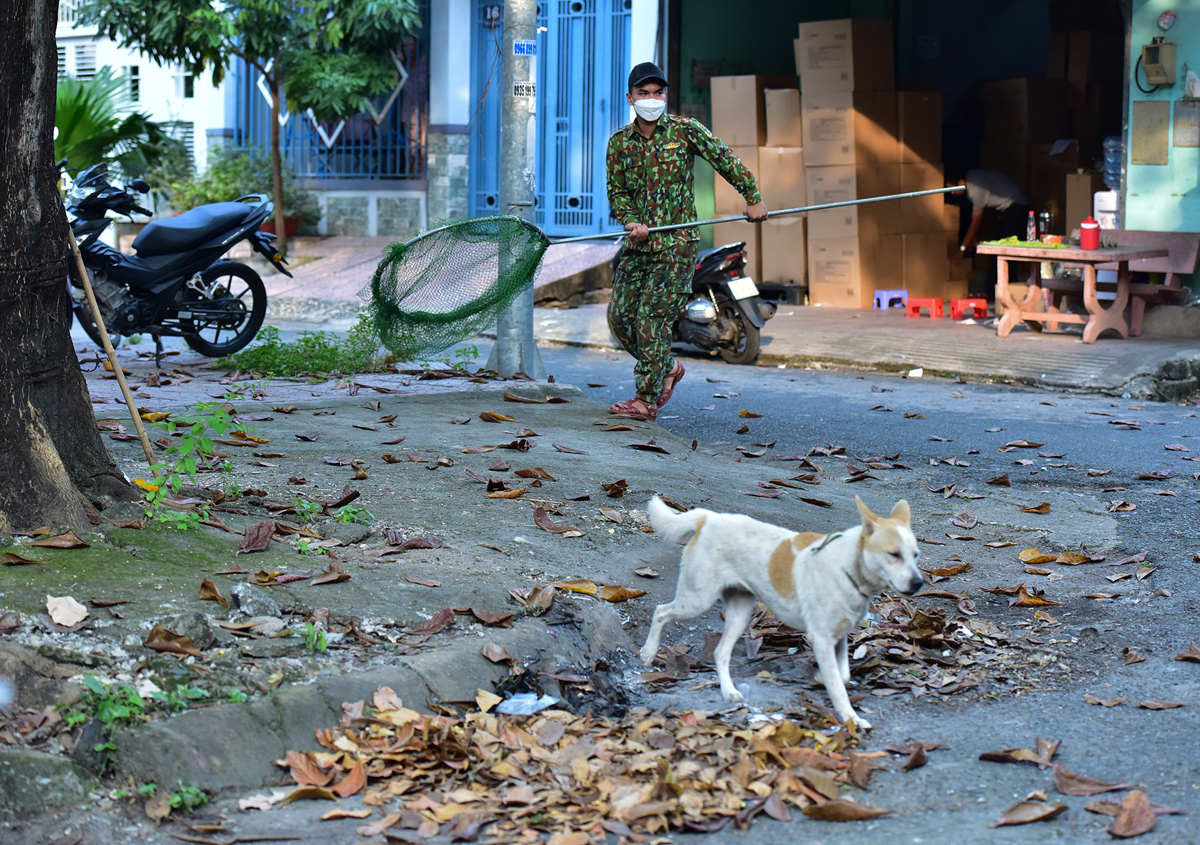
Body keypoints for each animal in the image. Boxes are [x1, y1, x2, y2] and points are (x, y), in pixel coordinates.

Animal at [643, 494, 921, 724]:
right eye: (894, 554)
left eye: (915, 555)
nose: (918, 583)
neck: (847, 566)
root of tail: (707, 518)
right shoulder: (821, 639)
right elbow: (838, 687)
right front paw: (852, 718)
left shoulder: (838, 637)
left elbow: (841, 676)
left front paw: (821, 679)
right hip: (697, 599)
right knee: (660, 612)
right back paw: (648, 653)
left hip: (739, 613)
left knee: (721, 653)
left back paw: (729, 691)